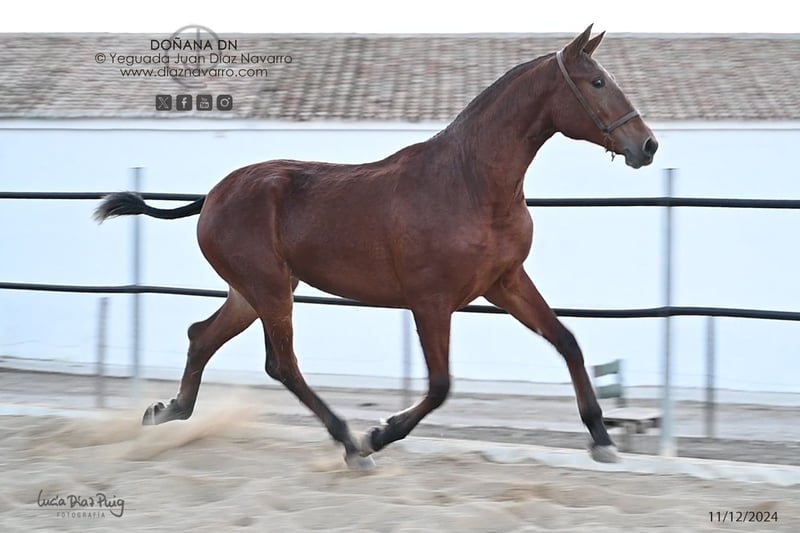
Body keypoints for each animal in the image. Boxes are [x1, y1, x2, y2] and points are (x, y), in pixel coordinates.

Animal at [95, 25, 657, 469]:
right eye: (597, 82)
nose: (647, 145)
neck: (471, 183)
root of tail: (214, 195)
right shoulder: (431, 301)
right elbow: (440, 385)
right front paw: (379, 434)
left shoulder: (504, 282)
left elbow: (567, 341)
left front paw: (602, 439)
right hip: (269, 288)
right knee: (282, 364)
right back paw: (350, 444)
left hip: (250, 291)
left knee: (202, 336)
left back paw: (166, 412)